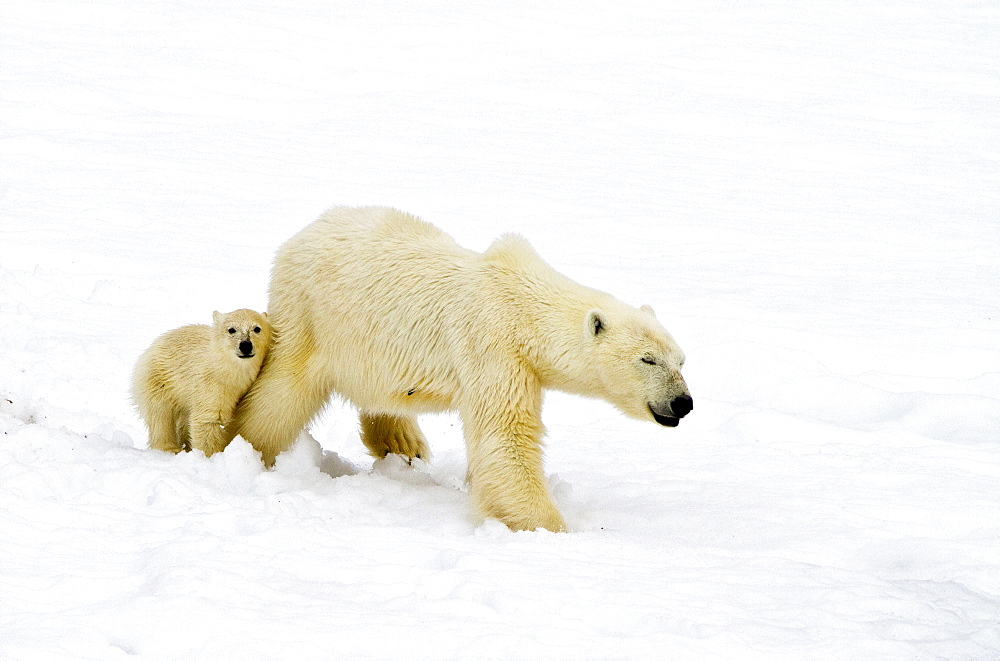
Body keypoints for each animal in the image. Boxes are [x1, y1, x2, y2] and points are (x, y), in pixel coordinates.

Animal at [133, 308, 276, 454]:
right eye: (231, 329)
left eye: (257, 328)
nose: (246, 345)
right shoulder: (211, 385)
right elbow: (208, 419)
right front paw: (211, 455)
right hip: (159, 379)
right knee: (160, 414)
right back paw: (170, 447)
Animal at [230, 206, 692, 532]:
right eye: (647, 359)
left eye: (681, 359)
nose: (683, 403)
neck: (523, 303)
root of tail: (302, 234)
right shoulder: (493, 346)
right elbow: (506, 435)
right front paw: (550, 526)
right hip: (312, 316)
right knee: (283, 392)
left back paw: (404, 444)